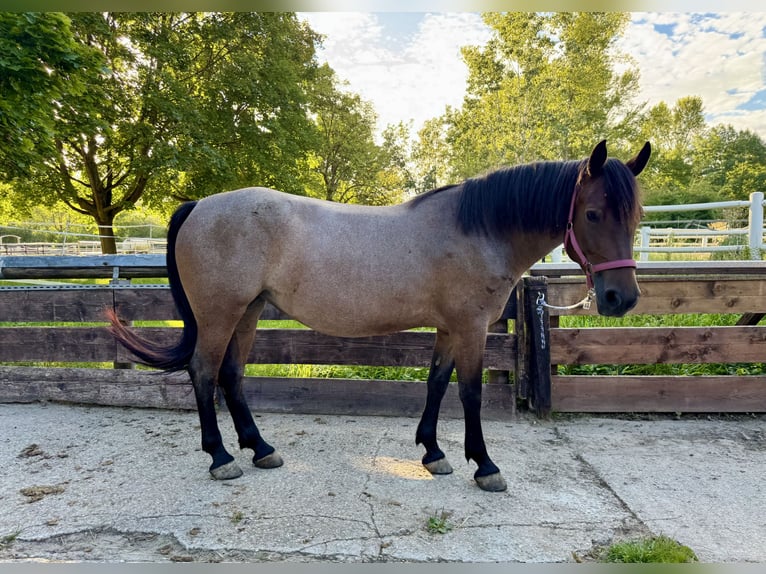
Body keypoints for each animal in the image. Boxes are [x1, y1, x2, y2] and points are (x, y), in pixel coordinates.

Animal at [108, 139, 650, 492]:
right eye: (593, 214)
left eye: (636, 217)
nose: (621, 298)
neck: (479, 230)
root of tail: (199, 205)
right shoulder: (471, 327)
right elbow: (470, 393)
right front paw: (484, 465)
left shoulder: (449, 327)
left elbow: (436, 383)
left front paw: (433, 452)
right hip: (221, 314)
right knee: (203, 371)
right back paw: (221, 458)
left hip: (249, 311)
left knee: (231, 375)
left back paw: (260, 449)